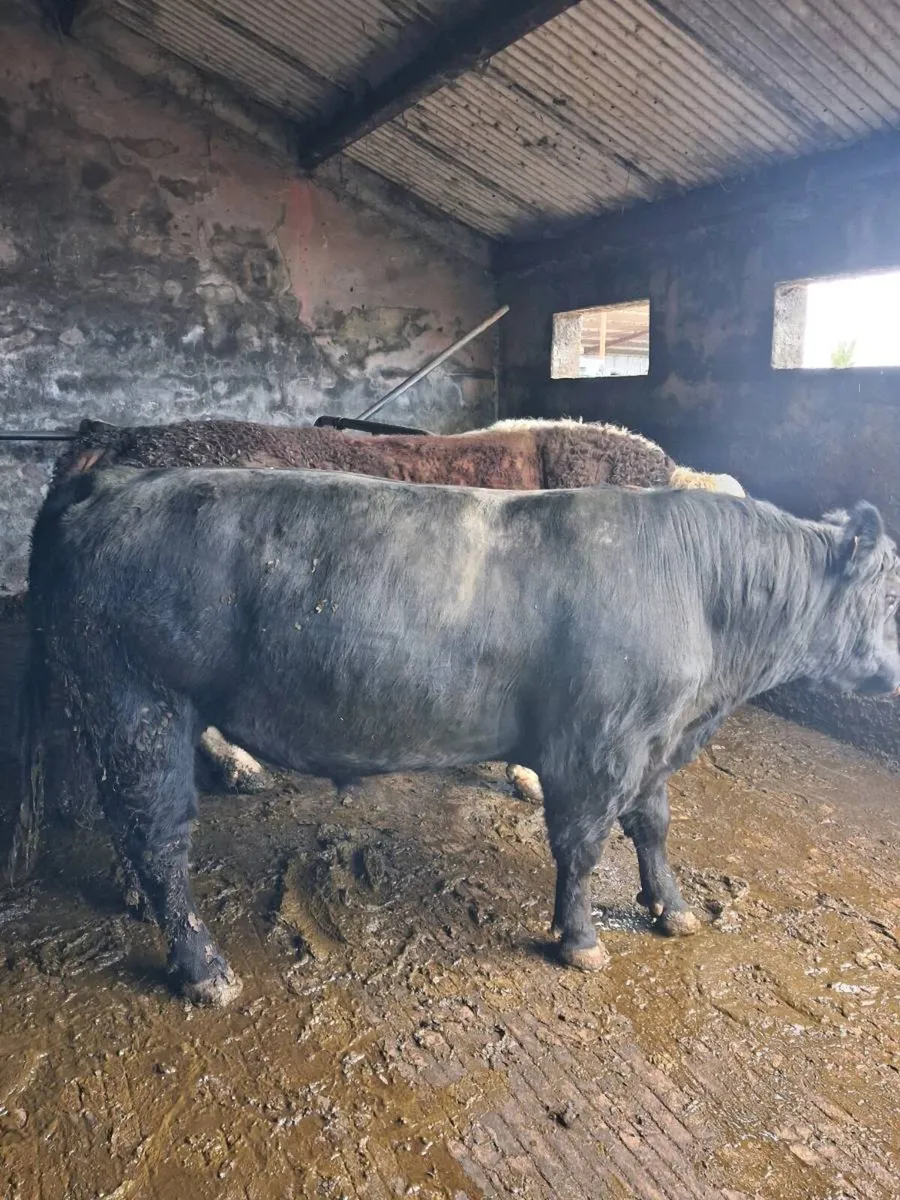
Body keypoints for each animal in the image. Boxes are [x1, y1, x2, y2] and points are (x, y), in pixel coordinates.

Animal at [13, 465, 900, 1006]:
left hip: (119, 710)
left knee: (129, 820)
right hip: (138, 699)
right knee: (156, 831)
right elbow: (583, 845)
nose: (893, 675)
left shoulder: (653, 743)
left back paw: (138, 902)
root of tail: (116, 478)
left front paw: (671, 909)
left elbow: (652, 826)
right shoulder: (596, 746)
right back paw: (203, 967)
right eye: (890, 594)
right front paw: (581, 939)